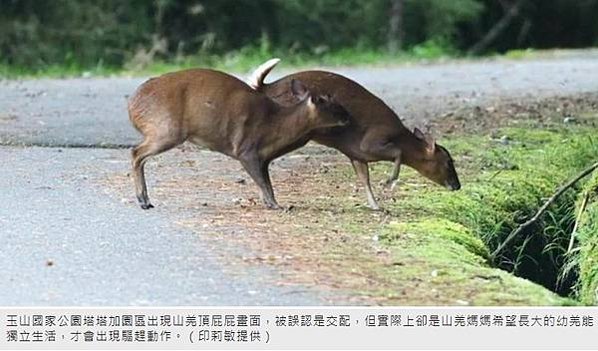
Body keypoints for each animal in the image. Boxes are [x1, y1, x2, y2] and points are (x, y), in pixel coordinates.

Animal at [127, 70, 352, 210]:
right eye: (327, 102)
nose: (348, 116)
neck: (276, 126)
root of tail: (132, 104)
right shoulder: (247, 150)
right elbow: (262, 182)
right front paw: (276, 205)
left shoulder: (264, 158)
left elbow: (267, 182)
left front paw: (270, 203)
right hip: (166, 129)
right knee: (136, 153)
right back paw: (143, 200)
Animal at [246, 59, 462, 210]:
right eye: (448, 162)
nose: (458, 185)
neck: (400, 135)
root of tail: (264, 86)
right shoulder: (372, 141)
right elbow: (398, 153)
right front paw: (388, 182)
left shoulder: (356, 154)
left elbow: (364, 178)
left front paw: (375, 205)